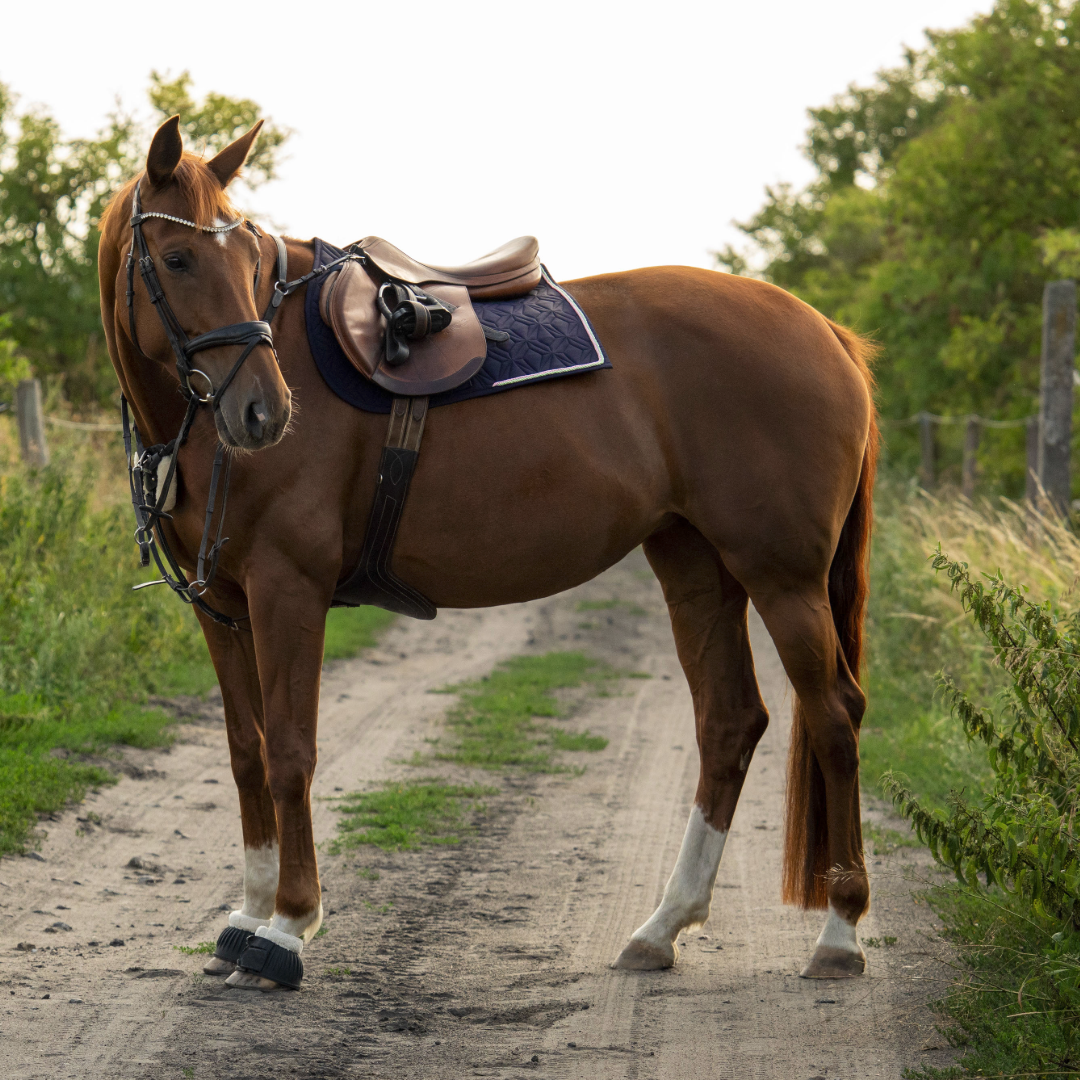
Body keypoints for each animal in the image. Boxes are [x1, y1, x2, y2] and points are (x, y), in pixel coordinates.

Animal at [97, 116, 877, 991]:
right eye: (178, 258)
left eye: (251, 262)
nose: (264, 411)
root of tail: (825, 330)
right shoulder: (224, 608)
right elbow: (245, 755)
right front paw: (247, 915)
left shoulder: (286, 590)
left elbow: (292, 753)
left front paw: (288, 927)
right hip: (696, 566)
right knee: (731, 722)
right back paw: (663, 926)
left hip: (784, 578)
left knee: (834, 717)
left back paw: (840, 934)